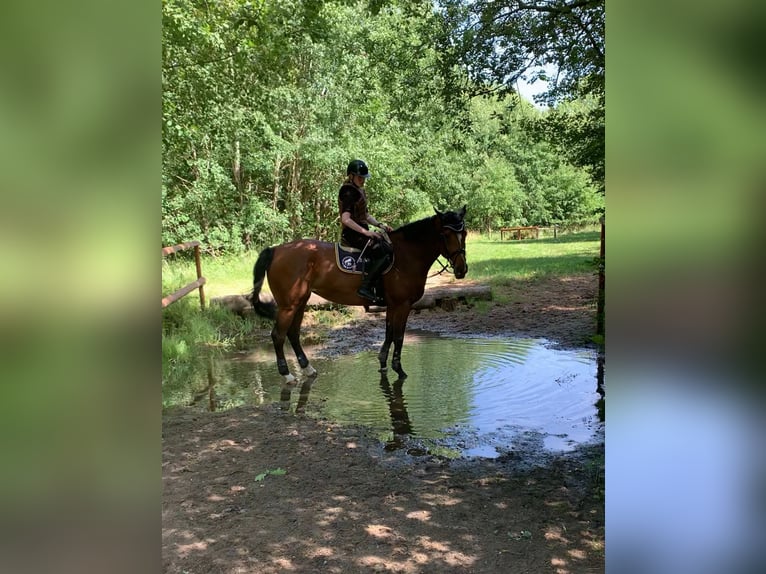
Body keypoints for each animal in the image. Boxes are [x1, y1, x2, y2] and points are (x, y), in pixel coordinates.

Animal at [250, 206, 468, 382]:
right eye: (445, 234)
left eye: (464, 233)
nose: (461, 270)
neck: (405, 256)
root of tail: (276, 250)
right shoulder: (402, 305)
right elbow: (399, 336)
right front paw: (399, 369)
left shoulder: (392, 305)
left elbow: (389, 333)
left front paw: (383, 364)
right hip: (289, 305)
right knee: (278, 335)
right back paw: (287, 374)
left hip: (301, 302)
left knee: (293, 334)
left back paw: (308, 368)